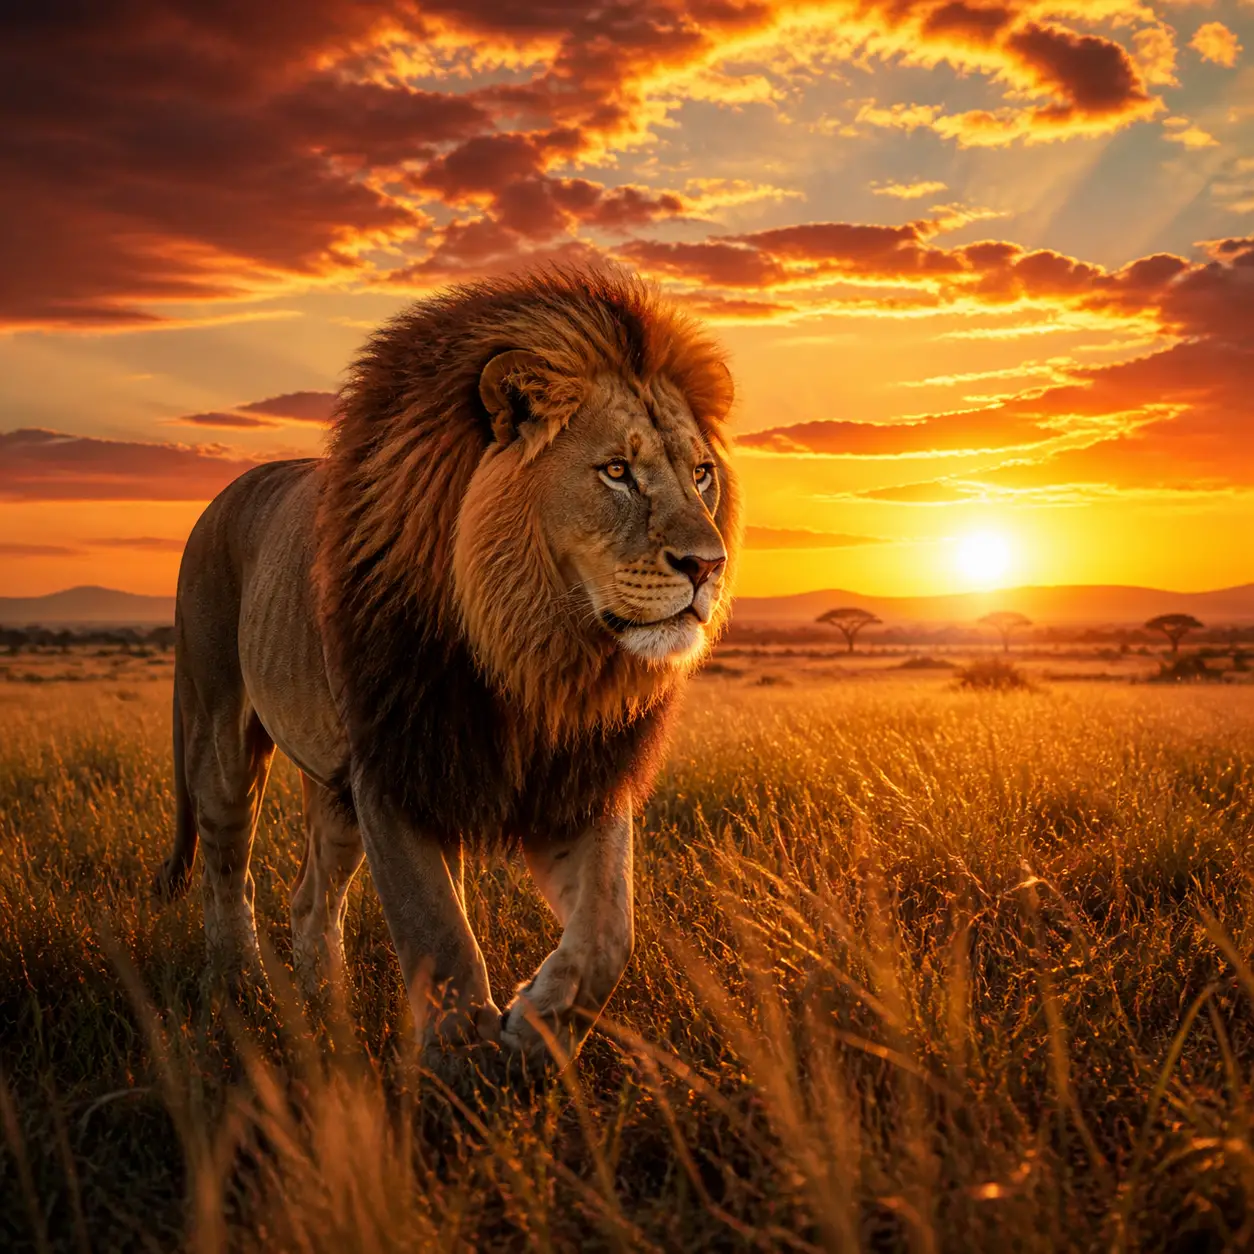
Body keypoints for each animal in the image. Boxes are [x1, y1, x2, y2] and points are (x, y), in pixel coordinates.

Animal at [155, 264, 740, 1071]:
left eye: (703, 474)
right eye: (617, 472)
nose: (708, 565)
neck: (532, 650)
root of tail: (223, 496)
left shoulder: (577, 778)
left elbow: (608, 932)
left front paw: (534, 1028)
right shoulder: (393, 769)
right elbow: (439, 934)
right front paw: (465, 1073)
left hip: (335, 788)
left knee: (310, 900)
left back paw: (333, 1024)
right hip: (221, 736)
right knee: (225, 875)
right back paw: (238, 999)